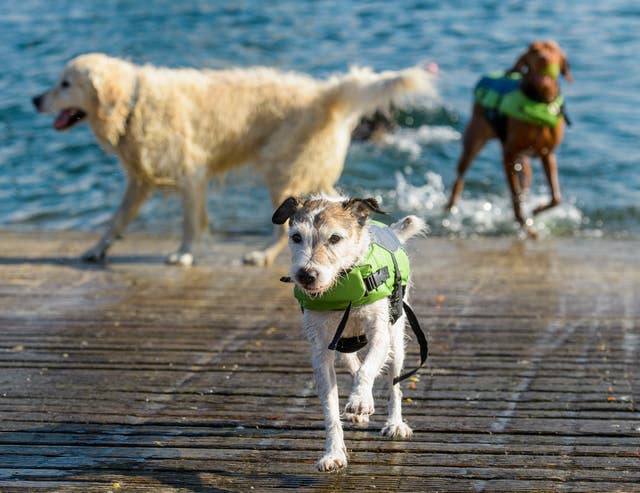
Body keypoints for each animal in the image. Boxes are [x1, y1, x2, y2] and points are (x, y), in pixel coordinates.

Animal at [272, 194, 424, 470]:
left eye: (335, 238)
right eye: (296, 237)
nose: (306, 275)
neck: (342, 286)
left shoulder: (380, 335)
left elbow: (368, 369)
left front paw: (360, 400)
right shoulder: (321, 351)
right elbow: (331, 408)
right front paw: (334, 453)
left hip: (396, 339)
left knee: (393, 384)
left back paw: (394, 422)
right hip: (342, 345)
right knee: (352, 362)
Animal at [448, 40, 572, 236]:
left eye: (552, 49)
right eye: (534, 50)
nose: (544, 59)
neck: (539, 103)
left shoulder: (547, 154)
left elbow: (555, 198)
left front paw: (536, 210)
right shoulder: (509, 154)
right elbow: (515, 197)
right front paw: (525, 225)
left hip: (525, 165)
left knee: (525, 182)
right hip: (474, 142)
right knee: (460, 177)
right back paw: (450, 206)